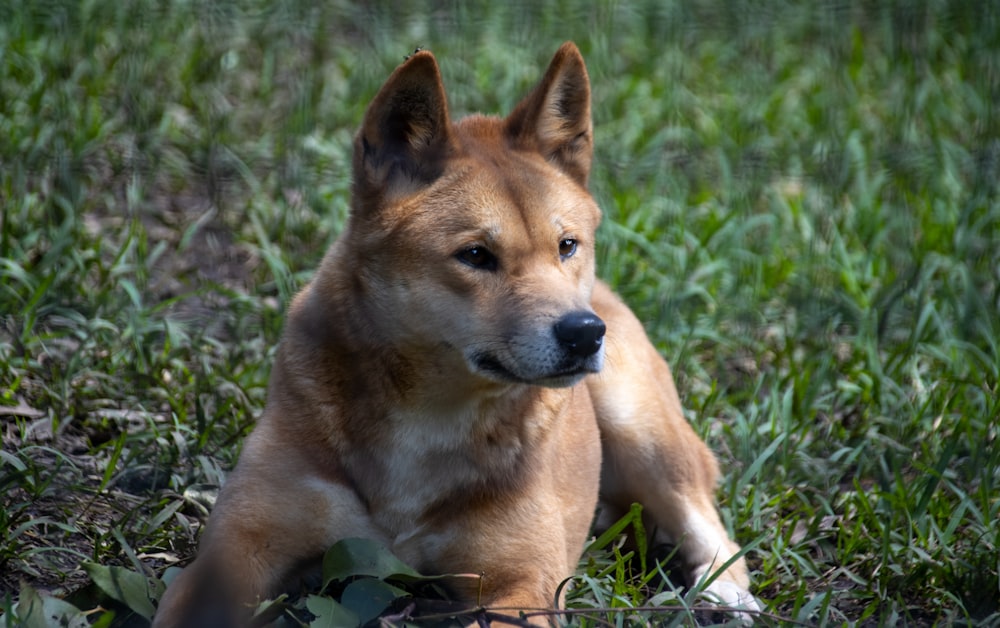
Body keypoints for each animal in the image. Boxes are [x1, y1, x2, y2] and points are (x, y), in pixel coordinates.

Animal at [152, 41, 752, 624]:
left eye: (567, 246)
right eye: (476, 255)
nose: (584, 333)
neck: (431, 415)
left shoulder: (523, 584)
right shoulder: (236, 552)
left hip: (638, 426)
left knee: (706, 519)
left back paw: (725, 596)